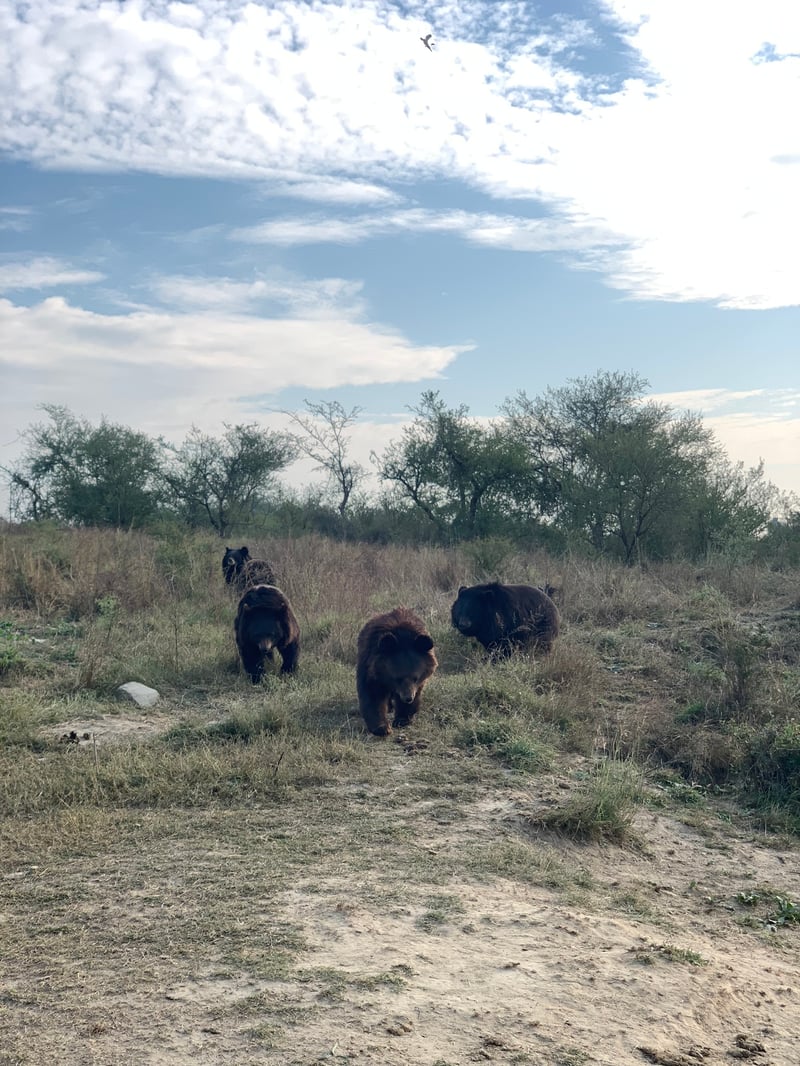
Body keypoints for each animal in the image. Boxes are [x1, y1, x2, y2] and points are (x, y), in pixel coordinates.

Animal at [356, 609, 439, 741]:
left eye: (416, 678)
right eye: (397, 678)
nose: (408, 698)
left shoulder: (420, 682)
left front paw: (401, 719)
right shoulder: (371, 670)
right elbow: (372, 695)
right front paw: (382, 728)